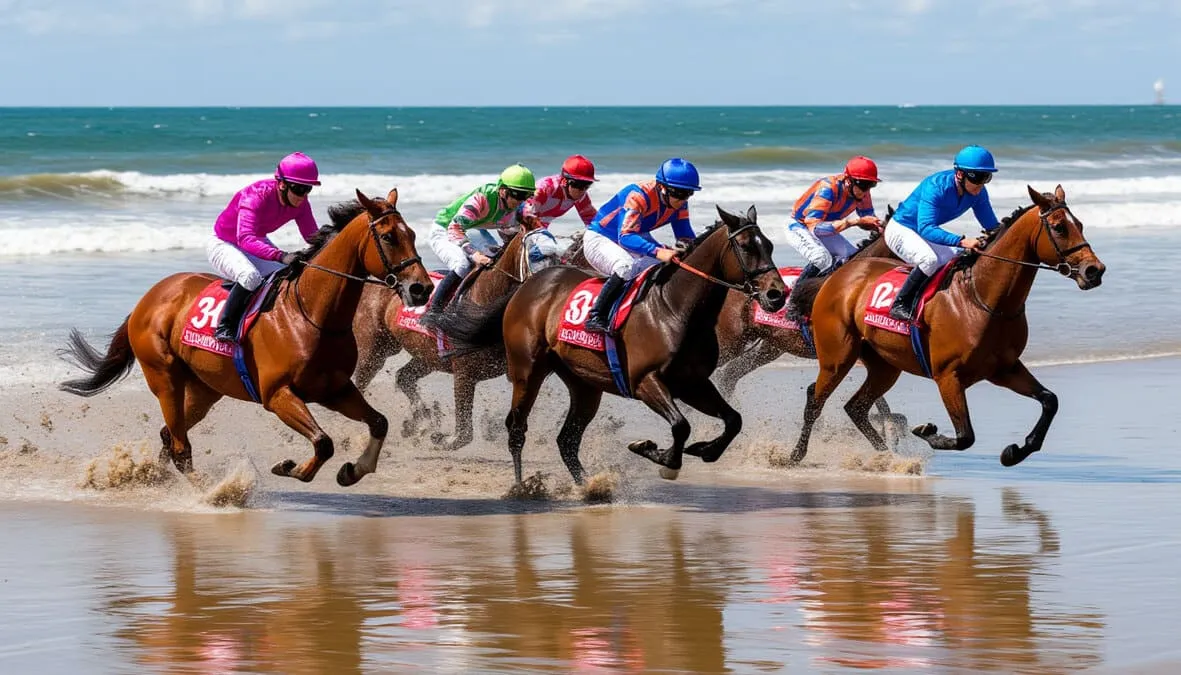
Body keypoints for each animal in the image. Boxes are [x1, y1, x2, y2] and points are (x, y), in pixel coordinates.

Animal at [57, 188, 433, 487]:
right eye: (389, 237)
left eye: (413, 234)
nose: (422, 288)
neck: (311, 315)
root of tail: (147, 299)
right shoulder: (277, 395)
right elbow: (323, 442)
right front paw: (289, 467)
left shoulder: (336, 389)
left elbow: (379, 422)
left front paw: (353, 470)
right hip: (165, 379)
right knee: (179, 444)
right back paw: (210, 493)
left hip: (205, 389)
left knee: (170, 434)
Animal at [350, 219, 561, 450]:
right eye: (534, 254)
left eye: (558, 256)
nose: (551, 290)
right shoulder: (464, 374)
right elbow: (464, 434)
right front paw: (441, 439)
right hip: (374, 351)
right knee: (362, 382)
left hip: (426, 356)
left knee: (404, 377)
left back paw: (420, 421)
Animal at [444, 205, 785, 486]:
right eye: (746, 247)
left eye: (769, 245)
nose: (776, 295)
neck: (673, 308)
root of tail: (527, 285)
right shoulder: (644, 381)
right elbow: (681, 426)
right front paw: (659, 455)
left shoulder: (693, 382)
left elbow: (733, 420)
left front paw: (704, 449)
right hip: (527, 371)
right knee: (517, 428)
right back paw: (520, 486)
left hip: (584, 384)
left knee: (567, 440)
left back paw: (589, 486)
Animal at [787, 185, 1105, 467]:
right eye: (1060, 227)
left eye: (1080, 224)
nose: (1094, 270)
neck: (982, 299)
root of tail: (836, 276)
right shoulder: (948, 377)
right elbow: (965, 436)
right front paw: (927, 431)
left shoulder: (1004, 368)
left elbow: (1050, 401)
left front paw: (1014, 452)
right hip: (837, 358)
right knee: (815, 401)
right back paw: (794, 456)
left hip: (884, 366)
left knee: (855, 407)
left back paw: (888, 458)